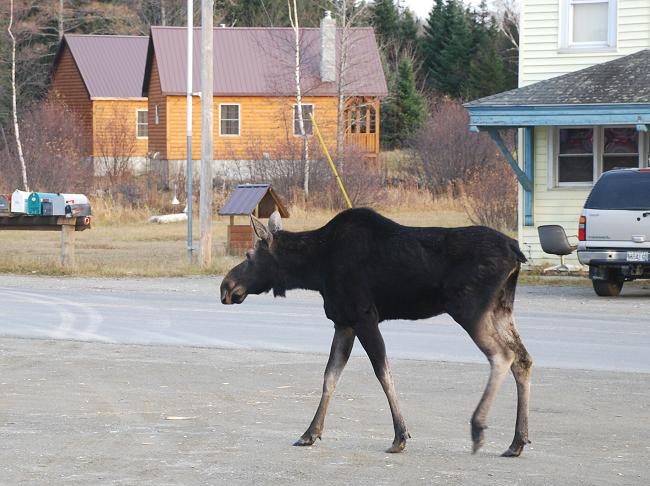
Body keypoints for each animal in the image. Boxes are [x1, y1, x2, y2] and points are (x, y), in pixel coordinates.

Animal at [220, 208, 528, 456]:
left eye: (249, 255)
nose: (226, 286)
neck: (314, 270)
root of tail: (516, 250)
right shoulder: (343, 322)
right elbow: (330, 377)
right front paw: (310, 432)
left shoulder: (364, 316)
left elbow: (383, 373)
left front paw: (400, 436)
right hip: (501, 308)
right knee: (523, 359)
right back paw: (517, 441)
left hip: (469, 308)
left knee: (503, 356)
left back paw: (478, 428)